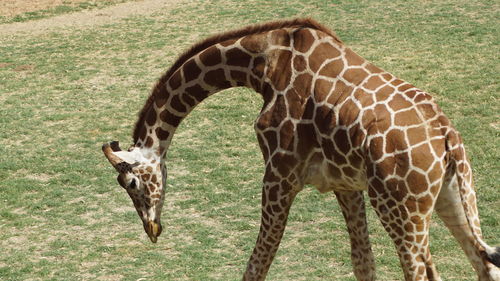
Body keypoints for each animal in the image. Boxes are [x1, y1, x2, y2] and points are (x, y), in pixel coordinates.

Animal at [102, 18, 500, 280]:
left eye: (131, 183)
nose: (152, 229)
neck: (261, 65)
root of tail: (447, 135)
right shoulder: (345, 184)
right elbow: (363, 262)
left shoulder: (279, 175)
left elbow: (257, 262)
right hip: (450, 193)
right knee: (483, 263)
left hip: (400, 209)